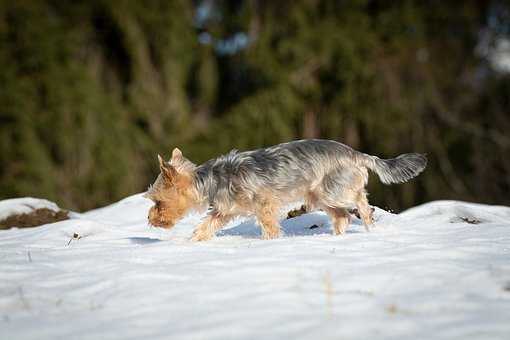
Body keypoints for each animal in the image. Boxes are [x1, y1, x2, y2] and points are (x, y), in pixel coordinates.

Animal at [144, 139, 426, 240]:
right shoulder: (224, 210)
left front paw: (270, 242)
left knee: (359, 199)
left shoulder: (264, 204)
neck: (211, 181)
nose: (149, 218)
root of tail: (357, 154)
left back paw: (368, 222)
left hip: (332, 190)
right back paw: (336, 237)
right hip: (319, 194)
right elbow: (206, 225)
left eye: (157, 201)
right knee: (342, 216)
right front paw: (193, 243)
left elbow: (269, 225)